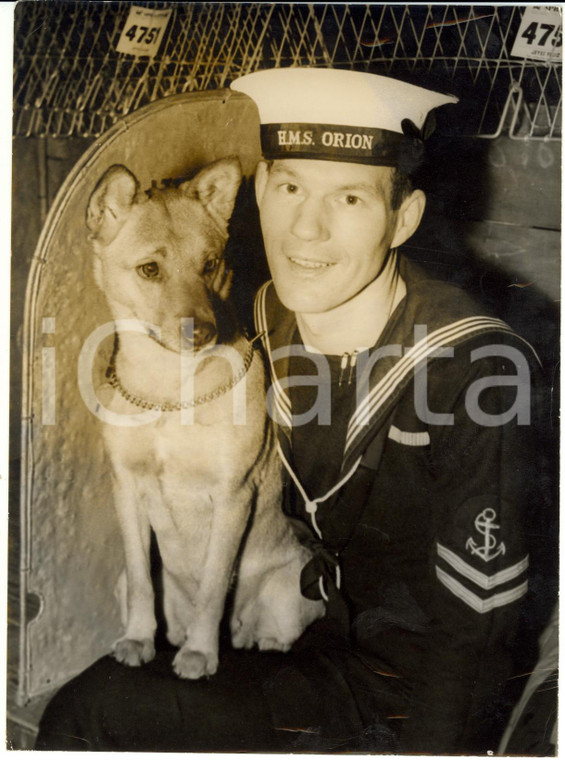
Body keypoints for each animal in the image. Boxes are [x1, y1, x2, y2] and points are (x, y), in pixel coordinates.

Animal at [83, 157, 322, 680]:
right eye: (150, 269)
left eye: (209, 264)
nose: (204, 332)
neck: (169, 395)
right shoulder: (127, 489)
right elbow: (142, 580)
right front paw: (139, 639)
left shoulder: (232, 496)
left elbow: (213, 585)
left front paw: (200, 652)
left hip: (295, 581)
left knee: (279, 627)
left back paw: (258, 640)